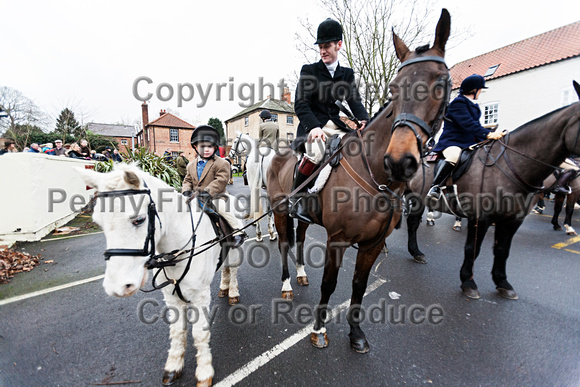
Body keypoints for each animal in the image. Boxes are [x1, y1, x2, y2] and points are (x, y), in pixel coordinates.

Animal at [78, 164, 241, 387]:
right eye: (98, 222)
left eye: (139, 220)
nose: (117, 286)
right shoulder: (172, 296)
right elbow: (177, 331)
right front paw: (173, 366)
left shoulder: (199, 296)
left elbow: (199, 333)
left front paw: (204, 371)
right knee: (224, 269)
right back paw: (224, 288)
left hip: (234, 252)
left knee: (232, 270)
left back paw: (232, 291)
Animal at [268, 9, 454, 354]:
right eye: (394, 88)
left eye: (442, 83)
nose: (399, 161)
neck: (375, 177)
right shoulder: (338, 239)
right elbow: (330, 284)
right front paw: (319, 330)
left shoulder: (373, 244)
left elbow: (359, 285)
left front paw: (355, 333)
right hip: (279, 211)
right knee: (285, 243)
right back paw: (287, 283)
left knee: (299, 239)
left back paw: (300, 274)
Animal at [404, 81, 580, 300]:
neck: (511, 165)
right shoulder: (480, 217)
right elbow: (472, 249)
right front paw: (468, 282)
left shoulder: (513, 220)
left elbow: (502, 250)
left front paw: (502, 282)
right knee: (411, 223)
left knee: (412, 223)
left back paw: (416, 252)